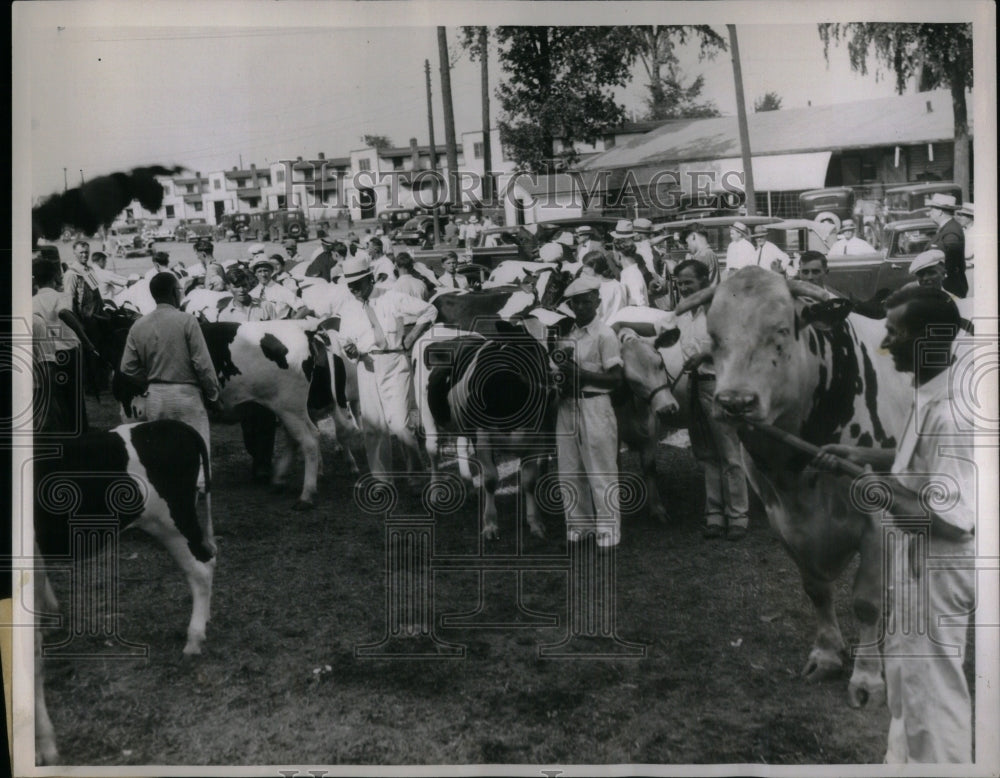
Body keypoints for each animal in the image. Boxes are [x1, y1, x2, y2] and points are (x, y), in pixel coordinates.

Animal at [408, 318, 564, 536]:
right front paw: (490, 524)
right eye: (529, 347)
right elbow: (490, 480)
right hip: (426, 410)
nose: (556, 381)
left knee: (461, 447)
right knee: (433, 449)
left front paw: (535, 523)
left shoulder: (536, 438)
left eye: (553, 345)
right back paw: (435, 491)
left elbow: (530, 481)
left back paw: (469, 486)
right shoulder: (482, 437)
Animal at [700, 266, 912, 704]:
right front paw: (827, 656)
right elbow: (816, 589)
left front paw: (867, 679)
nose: (734, 403)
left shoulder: (877, 519)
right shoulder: (782, 516)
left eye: (781, 330)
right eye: (713, 336)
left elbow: (866, 601)